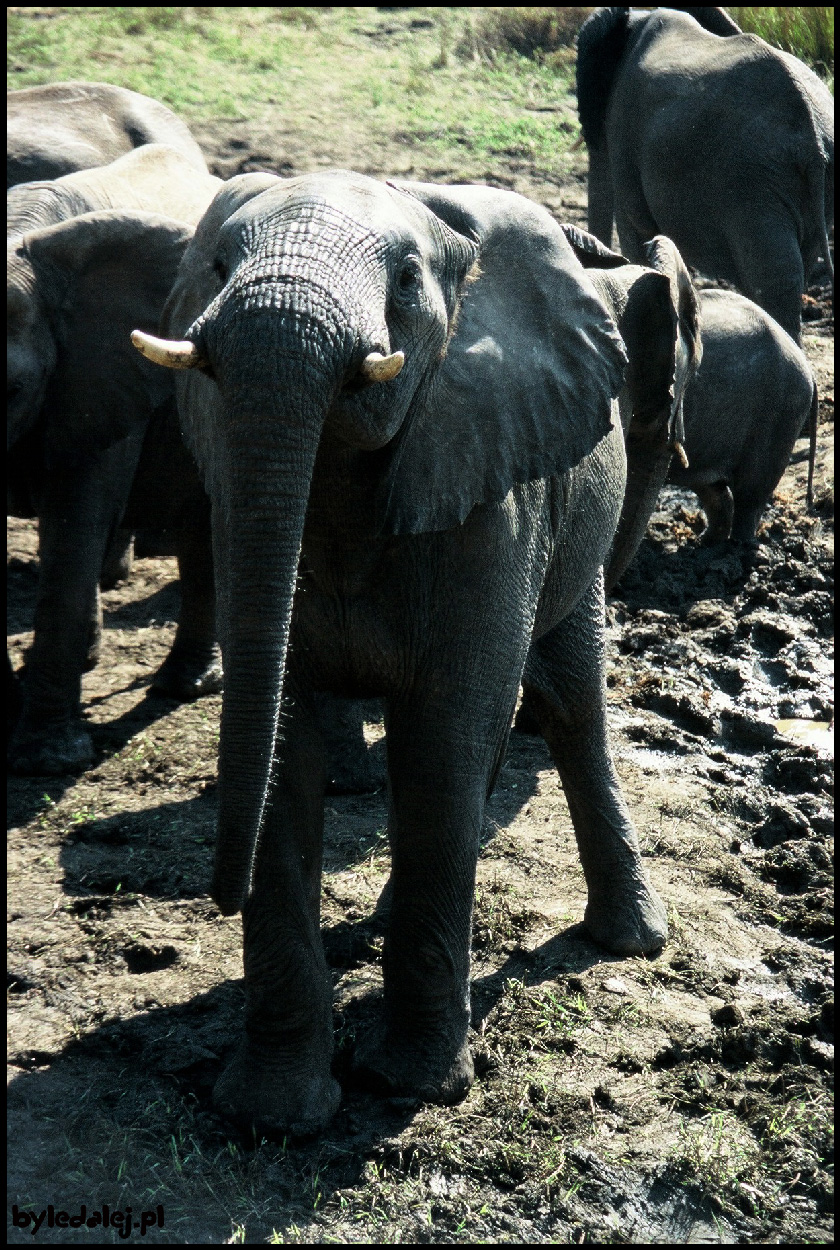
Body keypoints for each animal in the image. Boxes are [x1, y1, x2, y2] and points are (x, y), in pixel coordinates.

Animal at [133, 171, 700, 1140]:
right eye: (216, 264)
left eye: (403, 279)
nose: (217, 894)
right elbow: (286, 744)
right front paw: (275, 1113)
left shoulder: (495, 501)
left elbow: (442, 741)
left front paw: (412, 1085)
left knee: (568, 708)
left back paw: (627, 940)